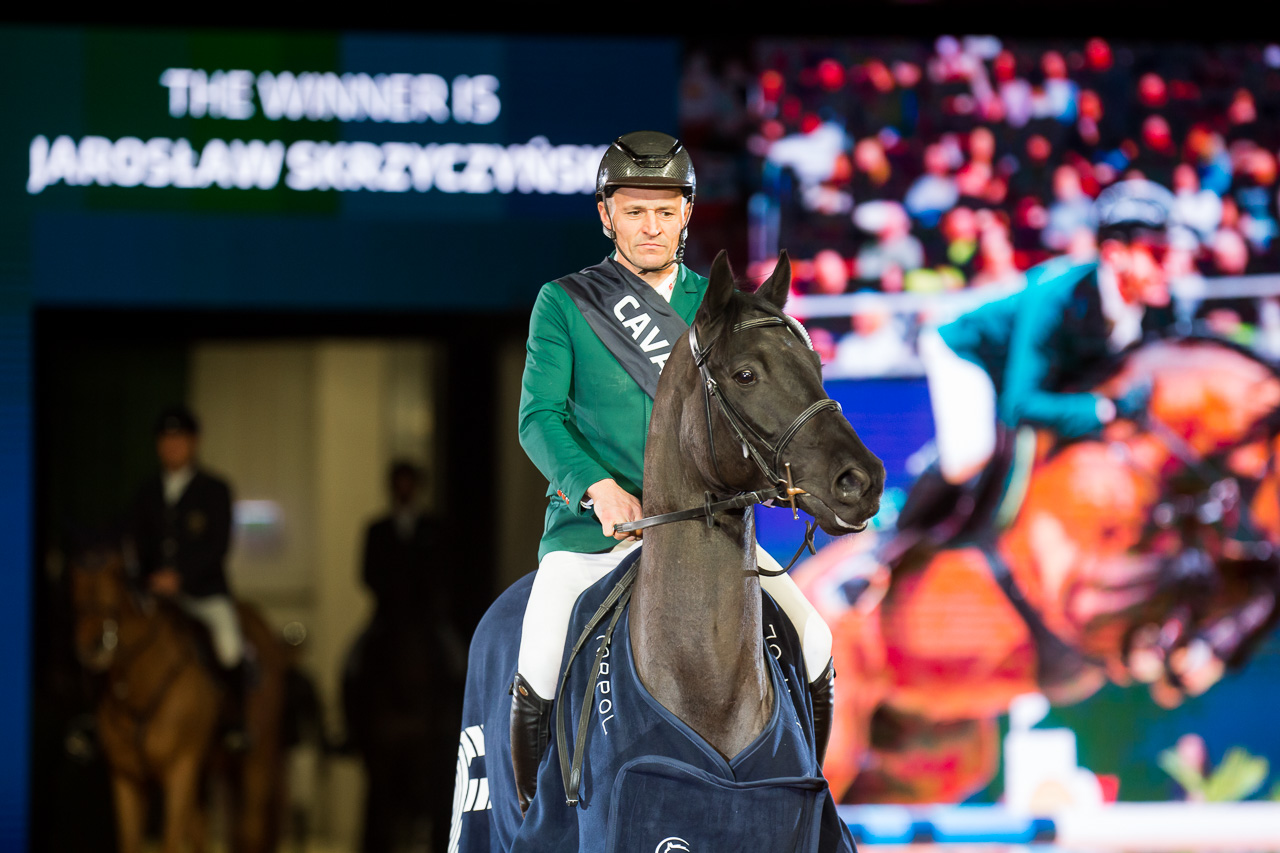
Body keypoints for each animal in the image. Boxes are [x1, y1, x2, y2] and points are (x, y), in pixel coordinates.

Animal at [70, 544, 292, 853]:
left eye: (111, 598)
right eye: (76, 600)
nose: (90, 648)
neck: (138, 689)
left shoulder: (180, 769)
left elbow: (171, 840)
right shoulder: (126, 778)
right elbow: (130, 841)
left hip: (256, 762)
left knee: (250, 828)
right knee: (203, 830)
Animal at [793, 337, 1280, 804]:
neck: (1133, 453)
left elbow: (1249, 578)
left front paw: (1199, 652)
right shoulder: (1079, 596)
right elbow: (1192, 569)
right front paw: (1176, 653)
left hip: (926, 762)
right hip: (846, 737)